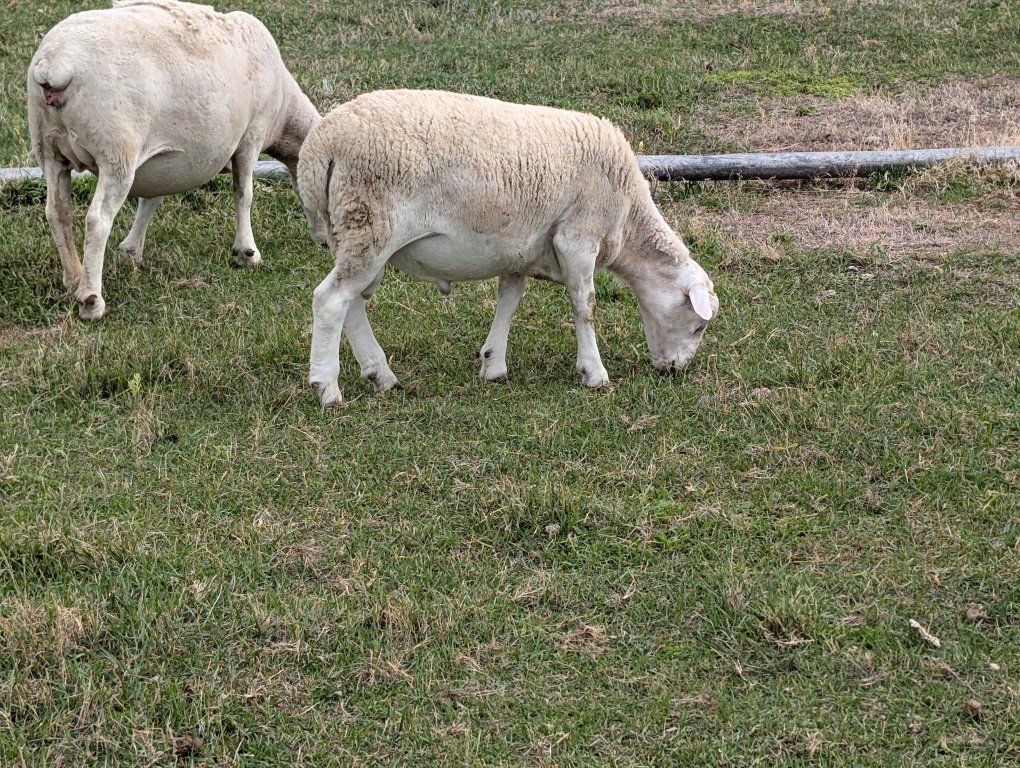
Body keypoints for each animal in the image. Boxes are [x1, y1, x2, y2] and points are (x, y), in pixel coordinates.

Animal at [27, 0, 320, 320]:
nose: (324, 243)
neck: (284, 114)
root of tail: (55, 64)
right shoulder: (251, 135)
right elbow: (243, 194)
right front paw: (246, 252)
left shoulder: (159, 160)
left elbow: (150, 201)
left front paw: (131, 250)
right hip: (117, 150)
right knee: (97, 220)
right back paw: (91, 299)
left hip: (49, 148)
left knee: (58, 212)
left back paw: (74, 279)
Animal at [297, 89, 719, 406]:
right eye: (699, 325)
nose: (675, 370)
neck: (628, 218)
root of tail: (320, 146)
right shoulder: (578, 237)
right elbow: (585, 305)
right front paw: (594, 373)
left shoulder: (520, 248)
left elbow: (509, 299)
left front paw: (493, 364)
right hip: (370, 223)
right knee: (330, 300)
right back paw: (327, 388)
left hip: (349, 230)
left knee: (351, 303)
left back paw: (380, 374)